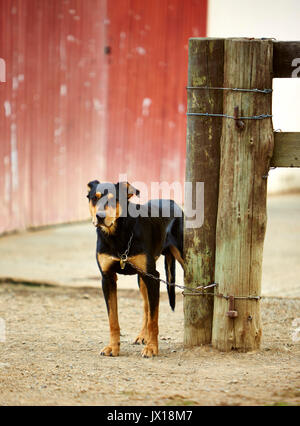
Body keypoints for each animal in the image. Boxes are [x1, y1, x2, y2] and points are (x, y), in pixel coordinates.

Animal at [86, 180, 184, 356]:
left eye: (113, 199)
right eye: (94, 198)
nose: (100, 217)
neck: (117, 235)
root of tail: (173, 202)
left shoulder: (154, 276)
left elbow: (154, 320)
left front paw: (152, 348)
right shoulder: (107, 278)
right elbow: (113, 319)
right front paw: (113, 347)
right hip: (142, 278)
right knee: (146, 306)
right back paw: (142, 335)